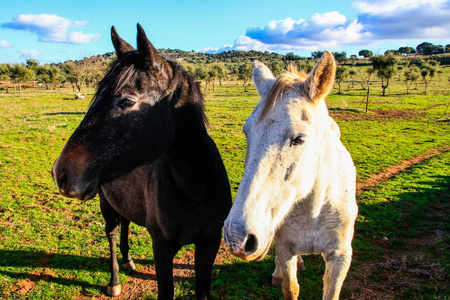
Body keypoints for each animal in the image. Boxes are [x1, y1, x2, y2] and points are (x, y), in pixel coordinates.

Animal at [52, 24, 232, 300]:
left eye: (126, 101)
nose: (61, 172)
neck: (195, 189)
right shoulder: (162, 247)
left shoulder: (209, 243)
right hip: (105, 205)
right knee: (112, 233)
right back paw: (114, 280)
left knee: (125, 223)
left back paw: (128, 261)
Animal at [225, 50, 358, 298]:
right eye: (247, 132)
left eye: (299, 139)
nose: (236, 237)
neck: (314, 211)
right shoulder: (285, 249)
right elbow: (290, 288)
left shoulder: (341, 256)